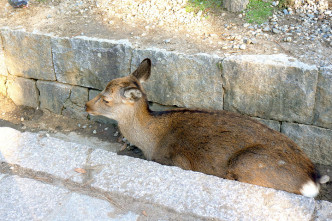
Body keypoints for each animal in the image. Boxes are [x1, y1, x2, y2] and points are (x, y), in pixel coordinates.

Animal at [85, 57, 326, 198]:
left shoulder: (177, 162)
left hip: (246, 163)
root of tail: (312, 178)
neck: (151, 140)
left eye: (106, 99)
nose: (86, 105)